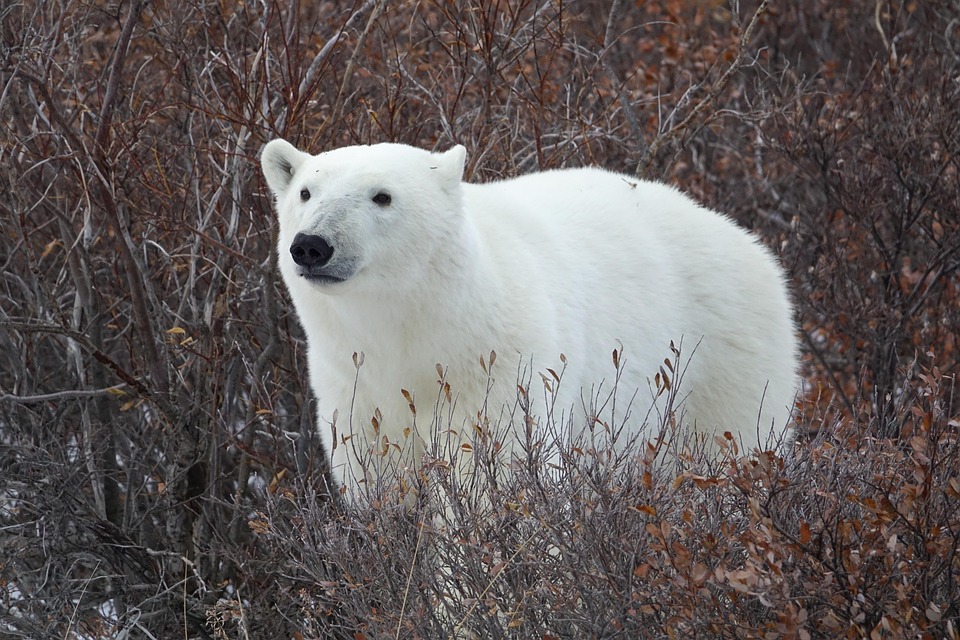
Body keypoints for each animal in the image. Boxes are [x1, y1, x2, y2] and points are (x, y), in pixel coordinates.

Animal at [260, 140, 799, 500]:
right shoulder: (353, 383)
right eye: (305, 192)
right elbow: (378, 480)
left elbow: (494, 483)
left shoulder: (500, 368)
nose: (312, 245)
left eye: (382, 195)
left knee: (728, 455)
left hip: (721, 362)